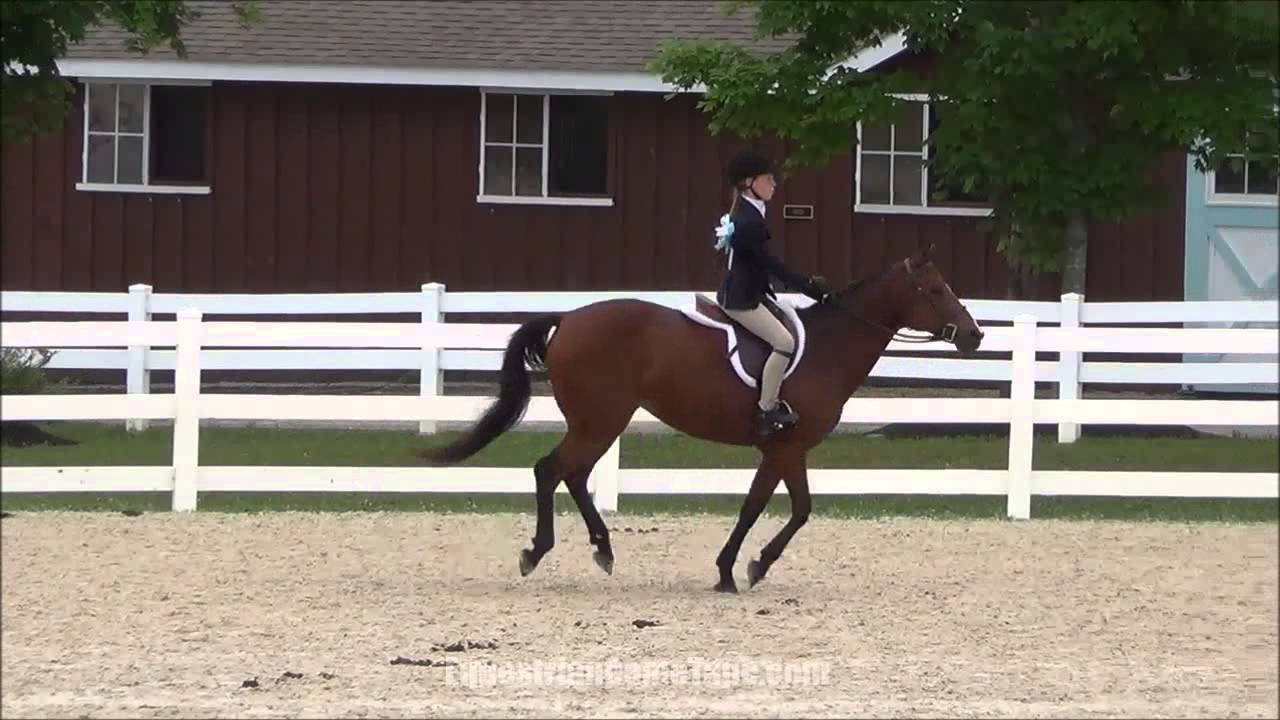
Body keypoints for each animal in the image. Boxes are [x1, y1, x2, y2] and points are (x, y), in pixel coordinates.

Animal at [417, 243, 984, 593]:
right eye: (935, 291)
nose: (974, 336)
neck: (829, 346)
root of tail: (571, 317)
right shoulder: (785, 446)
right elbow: (777, 509)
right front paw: (745, 568)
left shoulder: (784, 450)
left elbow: (780, 508)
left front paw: (739, 568)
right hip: (600, 421)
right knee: (551, 471)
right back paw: (539, 552)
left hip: (600, 423)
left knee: (572, 476)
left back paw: (603, 549)